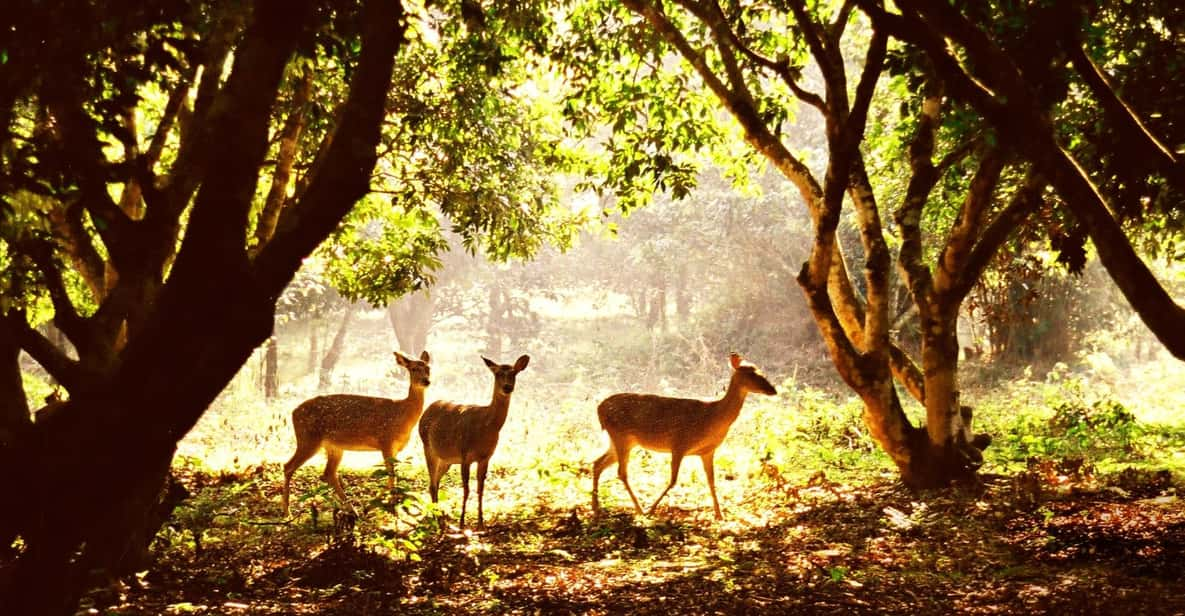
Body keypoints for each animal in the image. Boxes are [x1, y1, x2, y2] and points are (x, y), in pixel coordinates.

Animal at [279, 348, 433, 516]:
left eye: (428, 368)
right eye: (414, 369)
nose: (426, 381)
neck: (403, 414)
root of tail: (293, 412)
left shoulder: (395, 449)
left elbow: (391, 475)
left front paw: (371, 506)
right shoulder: (385, 441)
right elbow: (391, 475)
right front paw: (393, 508)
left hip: (334, 446)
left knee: (328, 473)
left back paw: (352, 509)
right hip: (308, 438)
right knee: (288, 466)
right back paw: (287, 511)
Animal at [417, 353, 528, 525]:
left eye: (514, 373)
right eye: (497, 373)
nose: (507, 387)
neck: (486, 426)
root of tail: (427, 409)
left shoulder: (486, 457)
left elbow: (480, 489)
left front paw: (481, 521)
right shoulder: (465, 455)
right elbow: (466, 489)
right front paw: (462, 522)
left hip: (447, 460)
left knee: (434, 483)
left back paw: (441, 517)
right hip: (427, 447)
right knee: (432, 483)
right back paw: (437, 519)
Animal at [592, 350, 777, 518]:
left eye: (760, 371)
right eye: (752, 374)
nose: (773, 390)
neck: (713, 418)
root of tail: (599, 409)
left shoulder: (707, 451)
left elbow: (711, 481)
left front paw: (719, 514)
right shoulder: (679, 443)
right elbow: (673, 480)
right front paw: (652, 510)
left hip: (623, 441)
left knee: (597, 463)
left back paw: (596, 506)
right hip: (621, 436)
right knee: (621, 472)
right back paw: (640, 510)